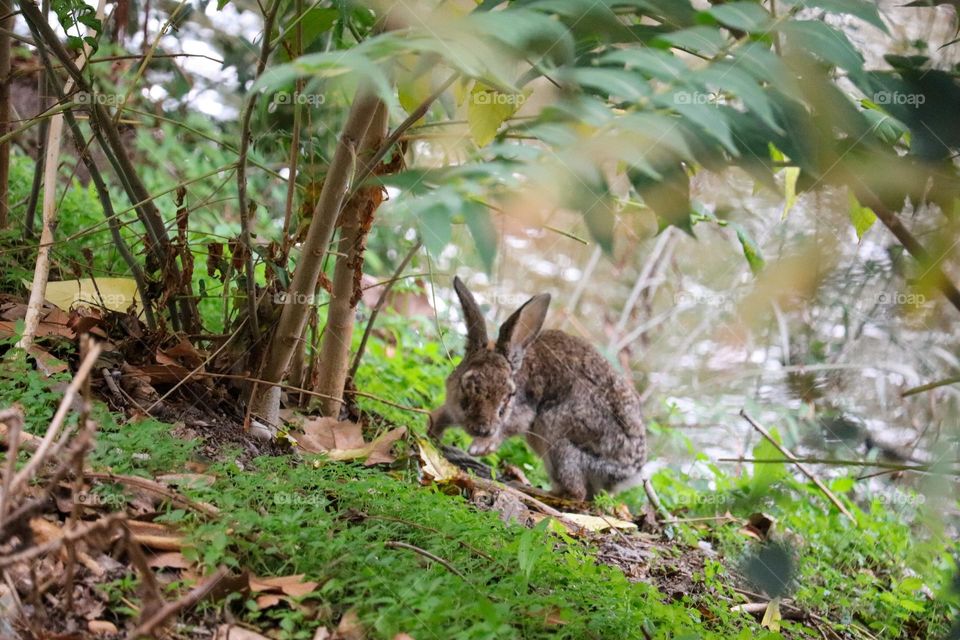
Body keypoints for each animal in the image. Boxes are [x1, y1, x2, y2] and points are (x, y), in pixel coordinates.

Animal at [432, 278, 648, 502]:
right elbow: (440, 417)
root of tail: (630, 473)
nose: (482, 429)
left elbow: (511, 426)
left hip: (558, 436)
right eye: (467, 385)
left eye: (508, 396)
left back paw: (531, 490)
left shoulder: (523, 413)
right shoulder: (452, 408)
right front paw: (432, 434)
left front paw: (480, 447)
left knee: (575, 493)